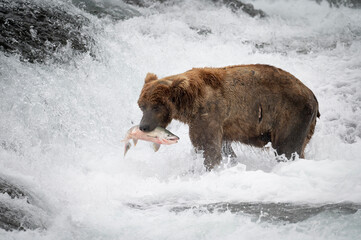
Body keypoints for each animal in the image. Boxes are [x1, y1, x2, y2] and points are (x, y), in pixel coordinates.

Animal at [136, 63, 320, 171]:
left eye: (156, 106)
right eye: (142, 105)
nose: (143, 126)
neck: (191, 103)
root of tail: (312, 94)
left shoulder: (209, 114)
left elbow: (207, 147)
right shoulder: (222, 125)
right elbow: (224, 149)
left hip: (291, 114)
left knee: (287, 148)